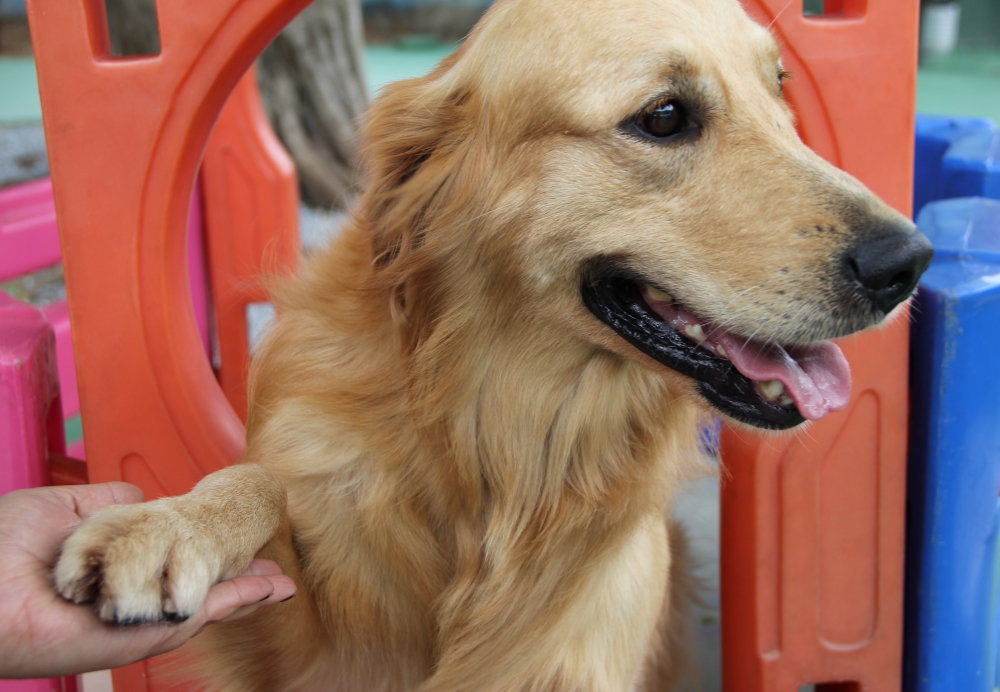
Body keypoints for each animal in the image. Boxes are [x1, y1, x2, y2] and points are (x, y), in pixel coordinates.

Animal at [54, 0, 932, 688]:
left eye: (779, 88)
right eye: (664, 117)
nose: (909, 261)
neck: (507, 443)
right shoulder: (308, 637)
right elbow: (261, 484)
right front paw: (168, 526)